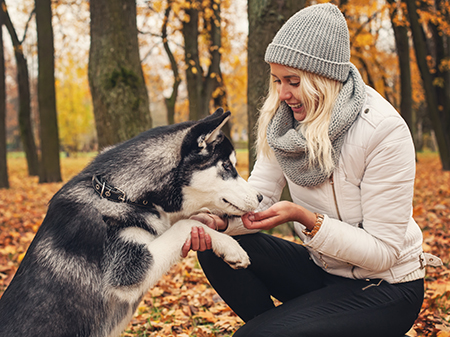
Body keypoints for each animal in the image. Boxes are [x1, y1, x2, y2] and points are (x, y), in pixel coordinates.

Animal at [0, 109, 262, 334]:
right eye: (227, 166)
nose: (260, 197)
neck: (118, 193)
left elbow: (192, 222)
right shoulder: (127, 271)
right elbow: (184, 225)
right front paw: (232, 247)